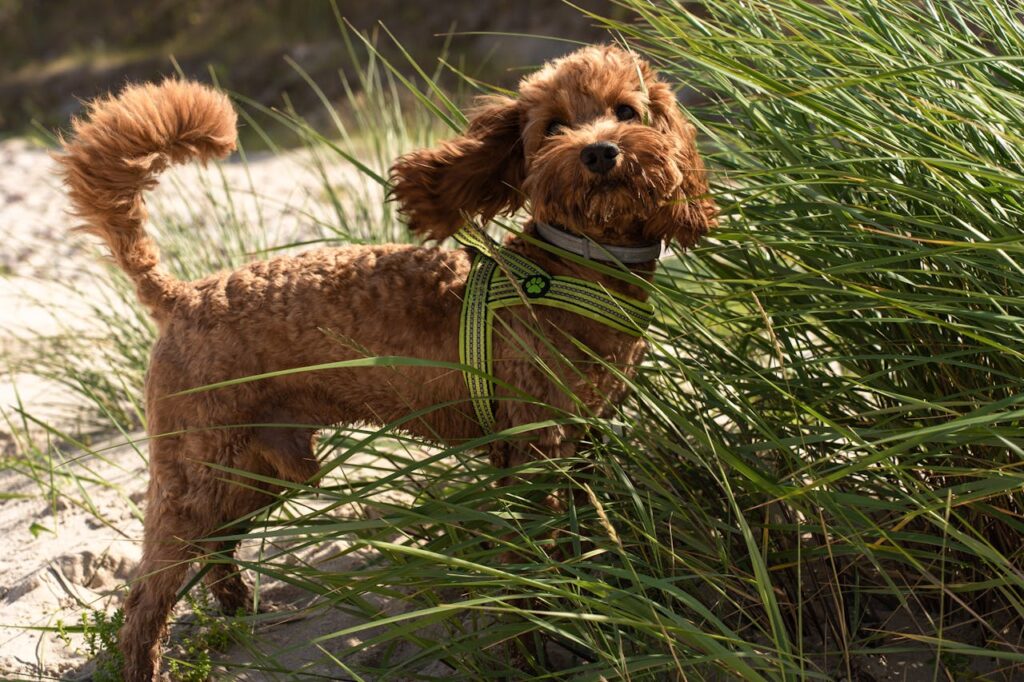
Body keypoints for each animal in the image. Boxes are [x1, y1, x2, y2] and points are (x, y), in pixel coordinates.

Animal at [56, 45, 712, 675]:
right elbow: (530, 561)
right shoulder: (532, 449)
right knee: (144, 598)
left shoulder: (584, 436)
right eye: (552, 126)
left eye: (627, 111)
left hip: (259, 466)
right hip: (196, 469)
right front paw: (536, 646)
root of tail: (182, 295)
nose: (600, 152)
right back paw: (150, 660)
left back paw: (241, 609)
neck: (579, 265)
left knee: (216, 547)